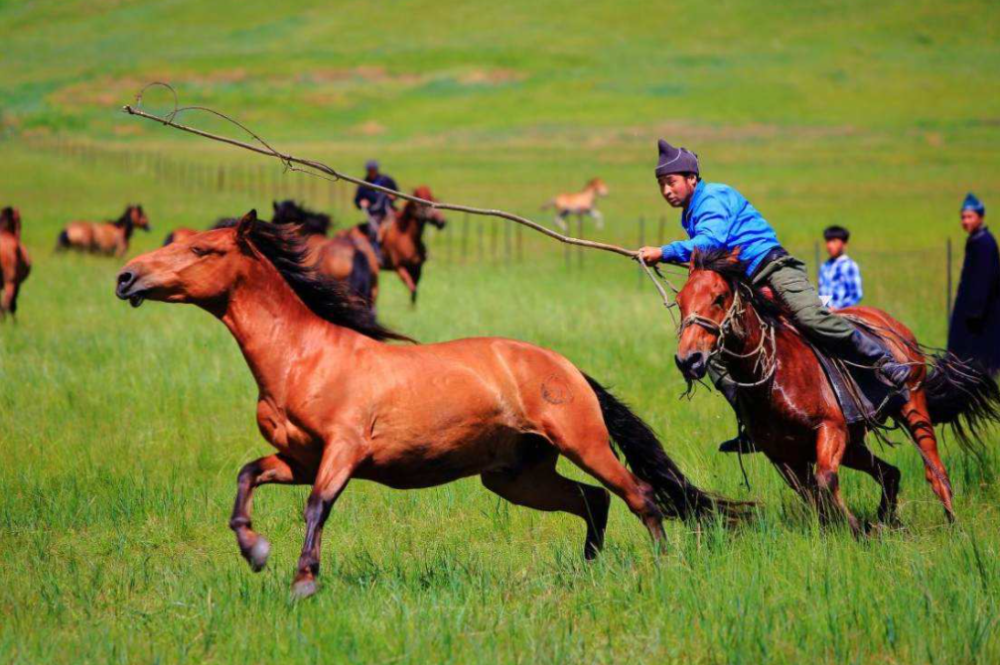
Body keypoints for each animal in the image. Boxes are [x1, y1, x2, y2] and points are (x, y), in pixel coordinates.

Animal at [115, 211, 744, 596]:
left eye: (202, 248)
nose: (126, 278)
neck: (304, 358)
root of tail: (566, 367)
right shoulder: (297, 459)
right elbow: (247, 476)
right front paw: (254, 549)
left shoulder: (342, 452)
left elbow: (317, 508)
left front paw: (303, 580)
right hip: (515, 476)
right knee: (593, 501)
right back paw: (590, 570)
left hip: (582, 443)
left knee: (638, 495)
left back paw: (662, 567)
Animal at [672, 246, 1000, 532]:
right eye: (681, 301)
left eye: (719, 297)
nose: (688, 359)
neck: (772, 371)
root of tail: (892, 325)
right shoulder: (782, 456)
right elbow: (813, 495)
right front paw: (849, 529)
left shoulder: (830, 429)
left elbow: (826, 481)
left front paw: (857, 529)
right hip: (855, 444)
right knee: (889, 473)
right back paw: (887, 522)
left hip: (912, 408)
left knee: (934, 471)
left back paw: (952, 525)